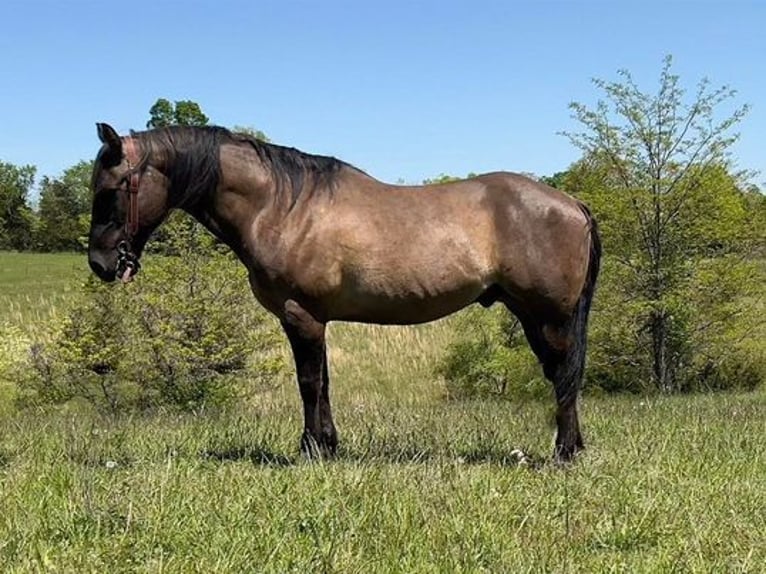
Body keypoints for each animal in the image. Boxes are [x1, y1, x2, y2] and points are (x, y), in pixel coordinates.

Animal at [87, 122, 601, 462]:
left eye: (111, 189)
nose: (100, 263)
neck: (281, 206)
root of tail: (572, 204)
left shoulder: (300, 315)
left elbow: (309, 383)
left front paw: (311, 450)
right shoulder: (316, 319)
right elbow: (324, 382)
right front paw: (329, 446)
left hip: (548, 316)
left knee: (564, 375)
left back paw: (563, 452)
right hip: (534, 315)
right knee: (563, 375)